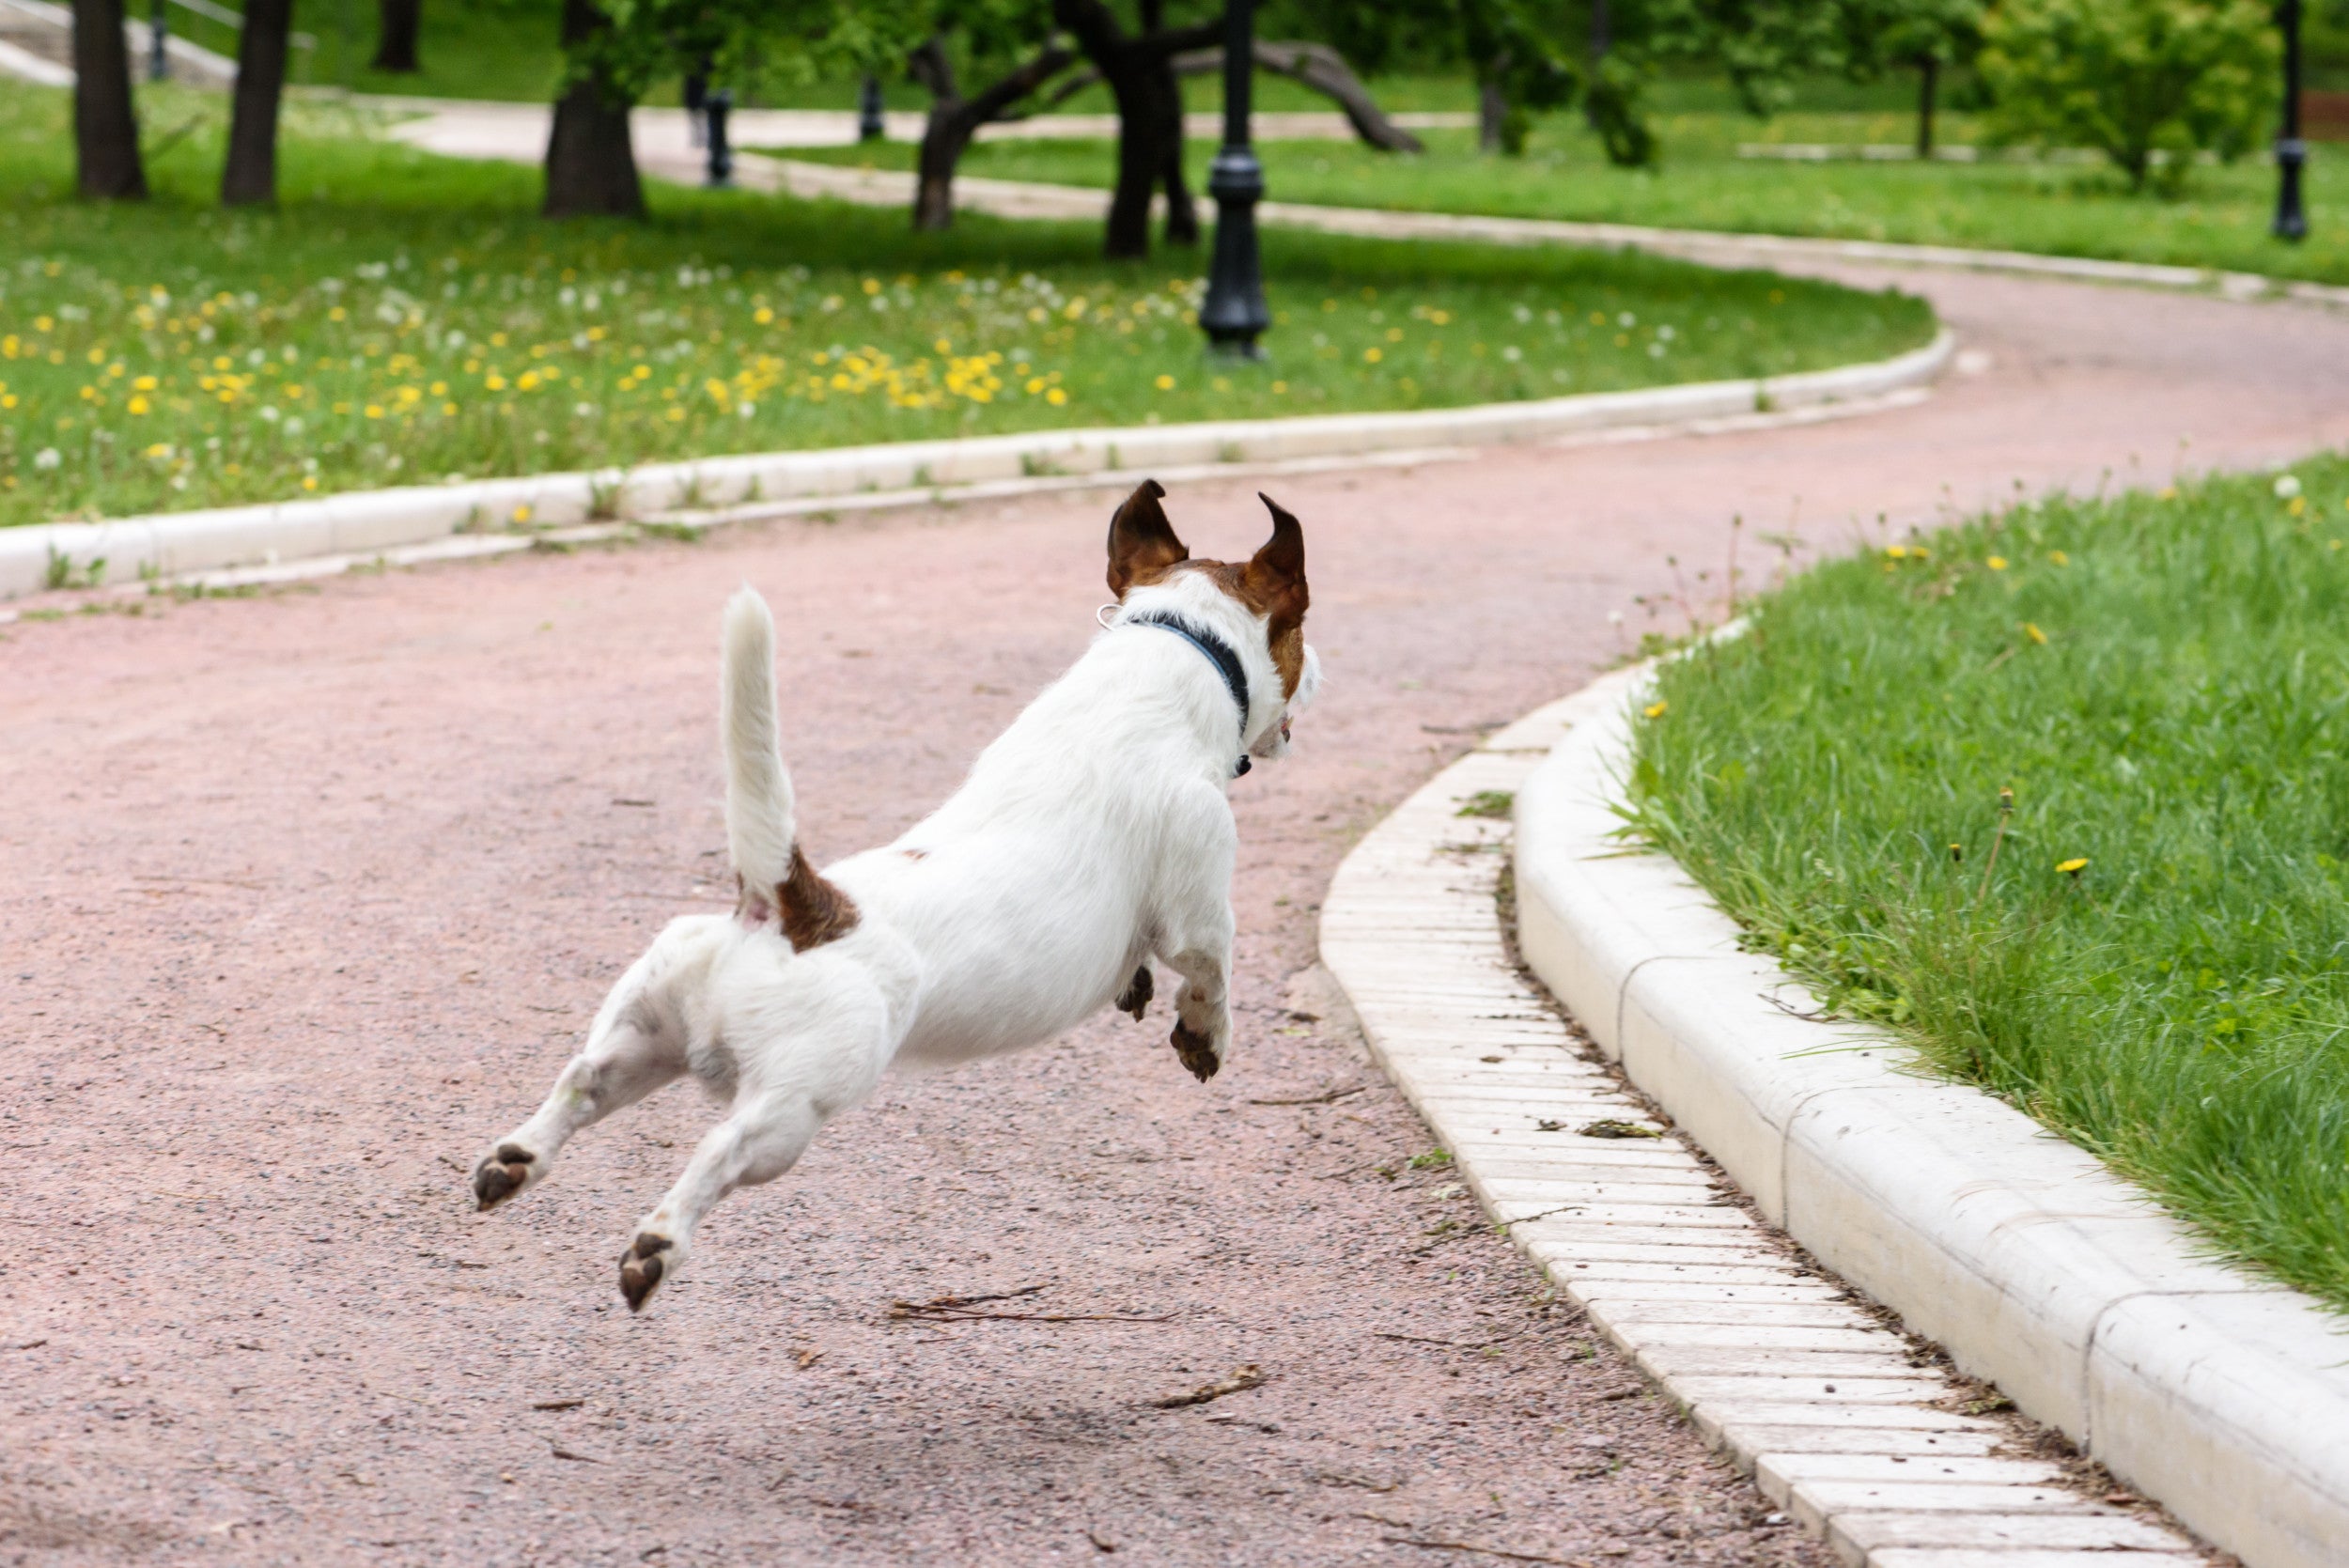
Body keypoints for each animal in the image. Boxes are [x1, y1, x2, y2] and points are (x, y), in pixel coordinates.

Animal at [472, 481, 1325, 1314]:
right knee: (719, 1149)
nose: (1319, 667)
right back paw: (656, 1244)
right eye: (1298, 629)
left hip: (651, 1031)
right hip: (798, 1099)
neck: (1170, 655)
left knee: (582, 1080)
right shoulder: (1200, 892)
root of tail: (789, 905)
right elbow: (1210, 972)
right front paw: (1204, 1036)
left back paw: (515, 1160)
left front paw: (1137, 989)